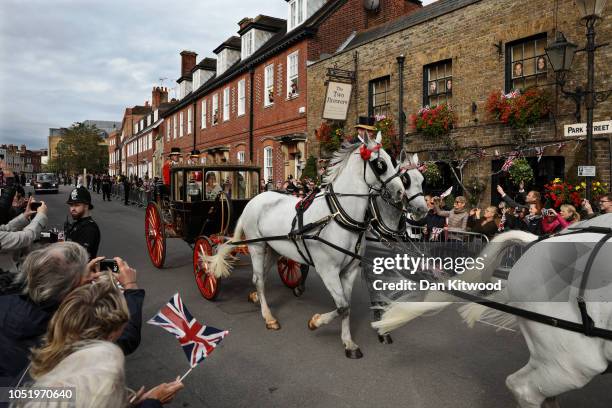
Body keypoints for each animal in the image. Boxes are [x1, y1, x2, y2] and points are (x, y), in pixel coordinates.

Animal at [208, 132, 404, 358]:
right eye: (380, 164)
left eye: (394, 162)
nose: (401, 193)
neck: (338, 216)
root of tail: (255, 199)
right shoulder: (327, 270)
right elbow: (342, 306)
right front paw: (316, 321)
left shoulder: (350, 270)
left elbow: (347, 306)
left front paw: (348, 342)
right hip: (257, 247)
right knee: (258, 279)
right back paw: (268, 317)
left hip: (273, 248)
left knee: (261, 277)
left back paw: (256, 297)